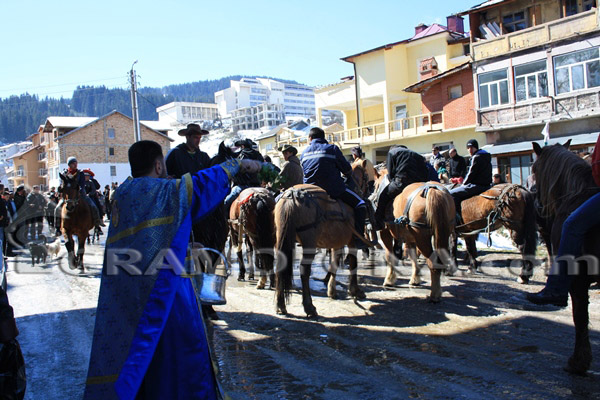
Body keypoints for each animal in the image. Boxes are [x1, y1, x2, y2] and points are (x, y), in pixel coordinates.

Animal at [276, 184, 368, 318]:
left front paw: (331, 289)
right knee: (305, 271)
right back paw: (309, 307)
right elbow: (353, 262)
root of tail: (292, 195)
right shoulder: (351, 241)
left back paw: (280, 305)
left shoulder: (337, 242)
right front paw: (354, 290)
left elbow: (335, 262)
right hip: (309, 243)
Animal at [372, 170, 458, 304]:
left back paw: (435, 294)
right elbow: (413, 256)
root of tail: (432, 190)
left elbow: (390, 256)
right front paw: (415, 278)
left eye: (375, 184)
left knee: (433, 263)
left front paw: (389, 279)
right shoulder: (410, 238)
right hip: (442, 233)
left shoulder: (385, 233)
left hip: (422, 237)